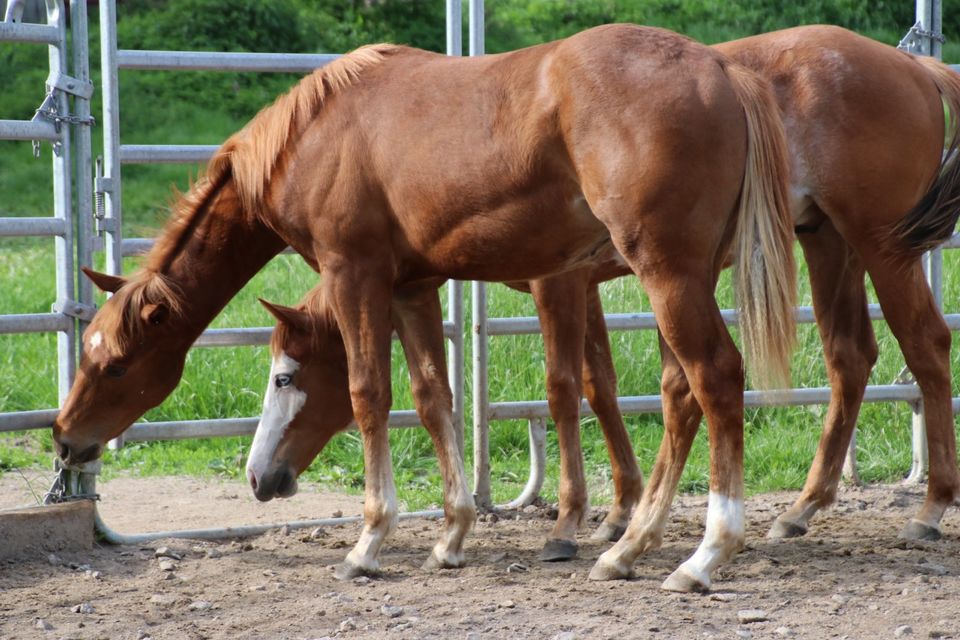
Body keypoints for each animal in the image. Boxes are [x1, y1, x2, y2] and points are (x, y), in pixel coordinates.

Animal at [48, 25, 792, 592]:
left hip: (667, 275)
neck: (316, 135)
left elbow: (369, 393)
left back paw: (703, 555)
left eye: (114, 364)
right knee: (683, 391)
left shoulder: (357, 276)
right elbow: (433, 396)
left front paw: (369, 542)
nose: (64, 438)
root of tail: (723, 71)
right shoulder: (414, 287)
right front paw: (452, 535)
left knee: (716, 377)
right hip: (683, 278)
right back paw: (627, 548)